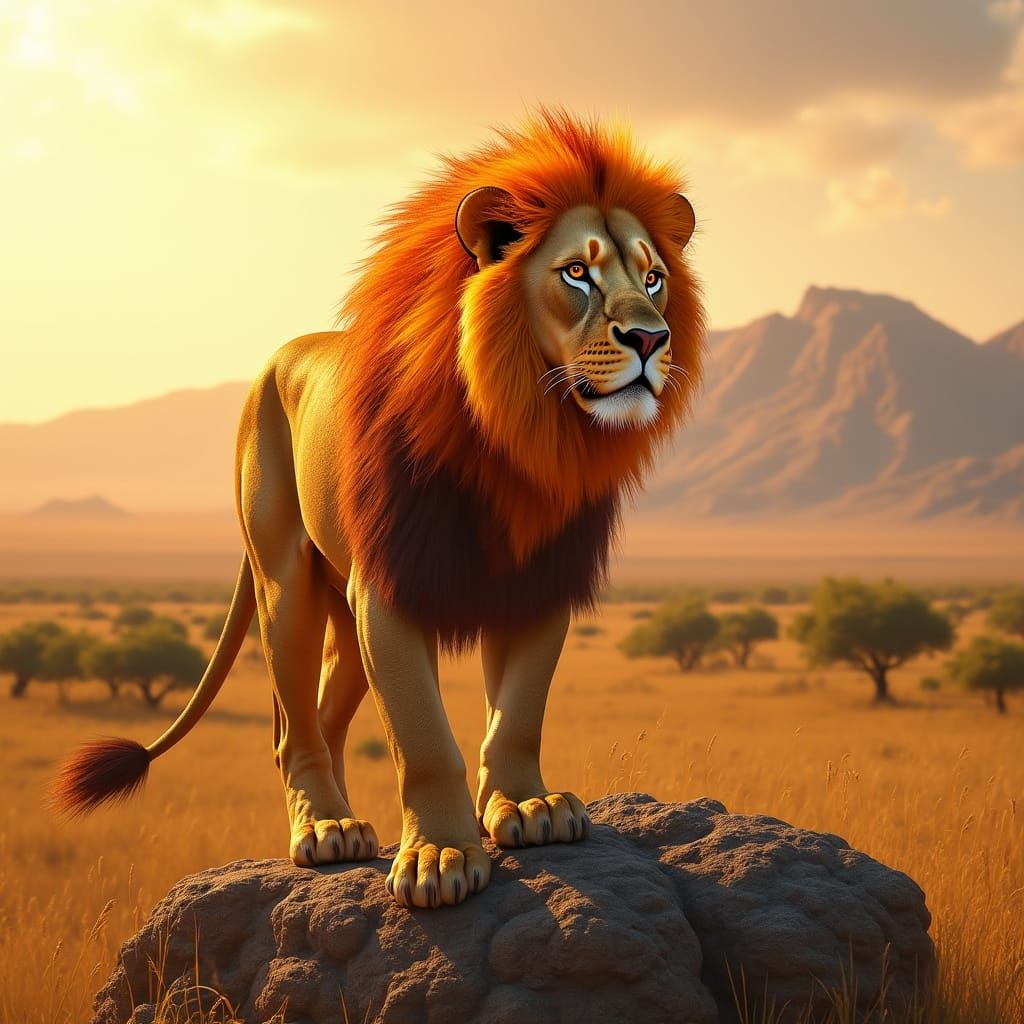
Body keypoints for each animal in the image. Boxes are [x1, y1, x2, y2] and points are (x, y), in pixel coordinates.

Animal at [53, 109, 704, 909]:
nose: (650, 337)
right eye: (576, 273)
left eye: (653, 277)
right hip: (287, 583)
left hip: (342, 605)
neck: (518, 435)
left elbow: (517, 714)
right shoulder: (390, 587)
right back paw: (323, 828)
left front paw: (527, 806)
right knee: (294, 724)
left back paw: (339, 817)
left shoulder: (539, 579)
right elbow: (422, 735)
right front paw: (439, 856)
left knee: (322, 718)